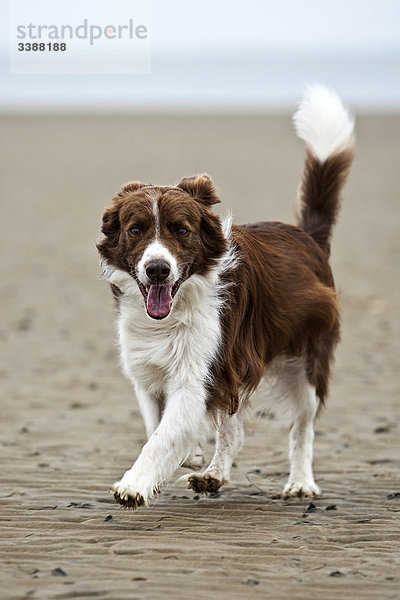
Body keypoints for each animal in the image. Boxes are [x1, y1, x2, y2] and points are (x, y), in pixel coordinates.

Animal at [98, 84, 354, 508]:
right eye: (135, 230)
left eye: (181, 230)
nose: (157, 269)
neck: (175, 311)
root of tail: (307, 237)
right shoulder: (150, 372)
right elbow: (157, 425)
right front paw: (191, 453)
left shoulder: (199, 372)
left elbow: (162, 436)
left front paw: (134, 484)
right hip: (238, 361)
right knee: (234, 429)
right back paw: (212, 475)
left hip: (306, 361)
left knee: (302, 427)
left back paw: (301, 482)